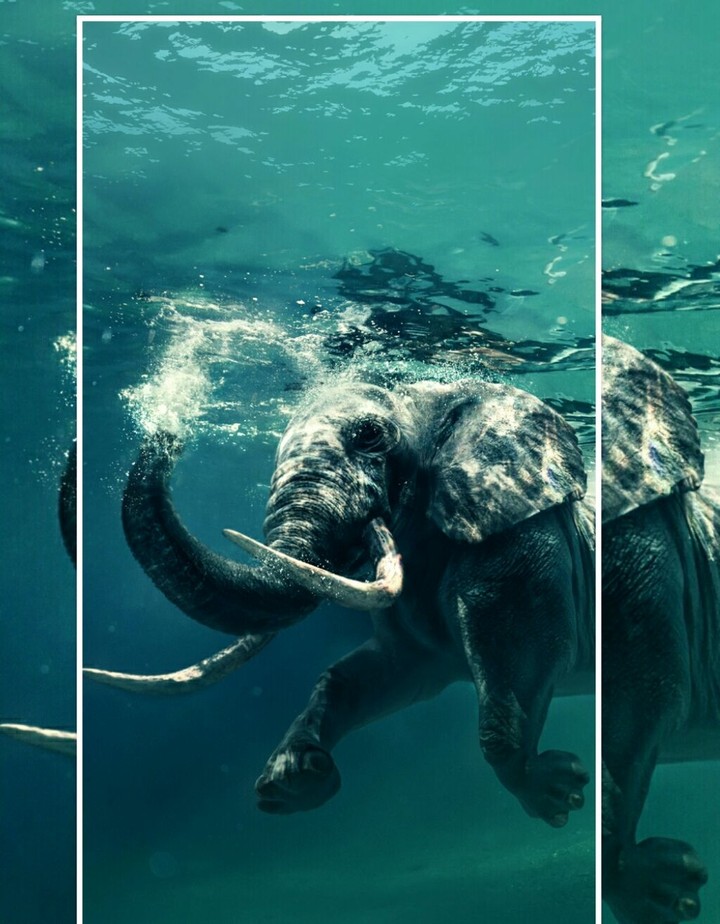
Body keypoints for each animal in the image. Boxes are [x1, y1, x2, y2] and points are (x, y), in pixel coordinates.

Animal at [87, 377, 595, 825]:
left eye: (369, 435)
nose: (169, 431)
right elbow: (372, 674)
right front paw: (292, 780)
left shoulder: (519, 537)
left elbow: (526, 657)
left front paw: (557, 792)